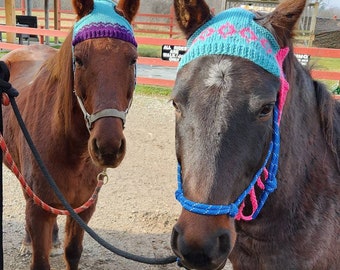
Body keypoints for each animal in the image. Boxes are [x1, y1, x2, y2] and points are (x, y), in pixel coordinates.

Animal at [1, 0, 139, 270]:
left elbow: (73, 252)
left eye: (132, 59)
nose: (108, 147)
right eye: (80, 60)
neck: (70, 150)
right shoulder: (38, 209)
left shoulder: (84, 208)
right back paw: (27, 241)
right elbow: (40, 260)